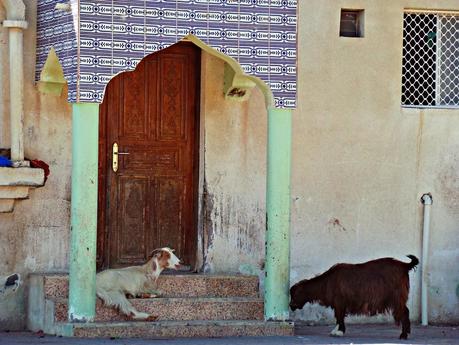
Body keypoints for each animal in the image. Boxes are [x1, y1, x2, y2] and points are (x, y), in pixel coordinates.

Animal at [292, 255, 420, 338]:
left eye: (293, 295)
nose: (291, 306)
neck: (327, 281)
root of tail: (404, 265)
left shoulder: (339, 302)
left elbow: (339, 317)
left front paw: (339, 332)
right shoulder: (340, 303)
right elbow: (339, 317)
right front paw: (337, 330)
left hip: (397, 297)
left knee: (404, 312)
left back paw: (403, 335)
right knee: (405, 311)